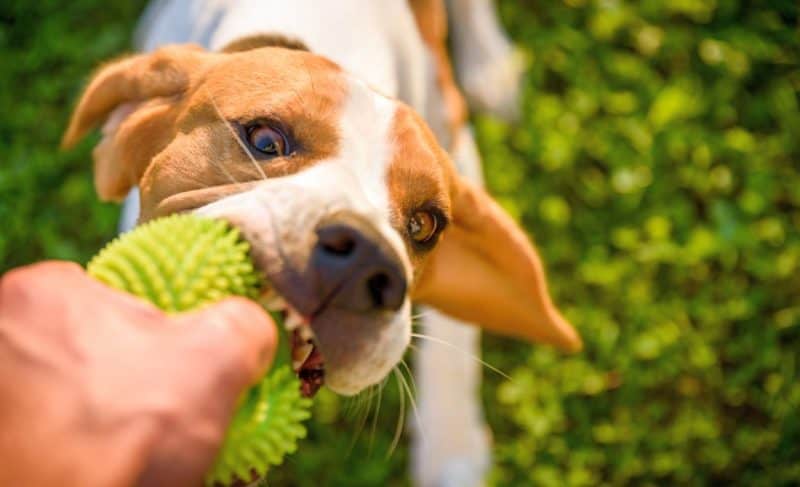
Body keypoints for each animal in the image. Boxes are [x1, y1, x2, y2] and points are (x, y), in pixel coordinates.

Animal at [61, 1, 576, 486]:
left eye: (424, 224)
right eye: (265, 140)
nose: (365, 259)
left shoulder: (459, 147)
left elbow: (454, 343)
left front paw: (452, 452)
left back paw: (490, 65)